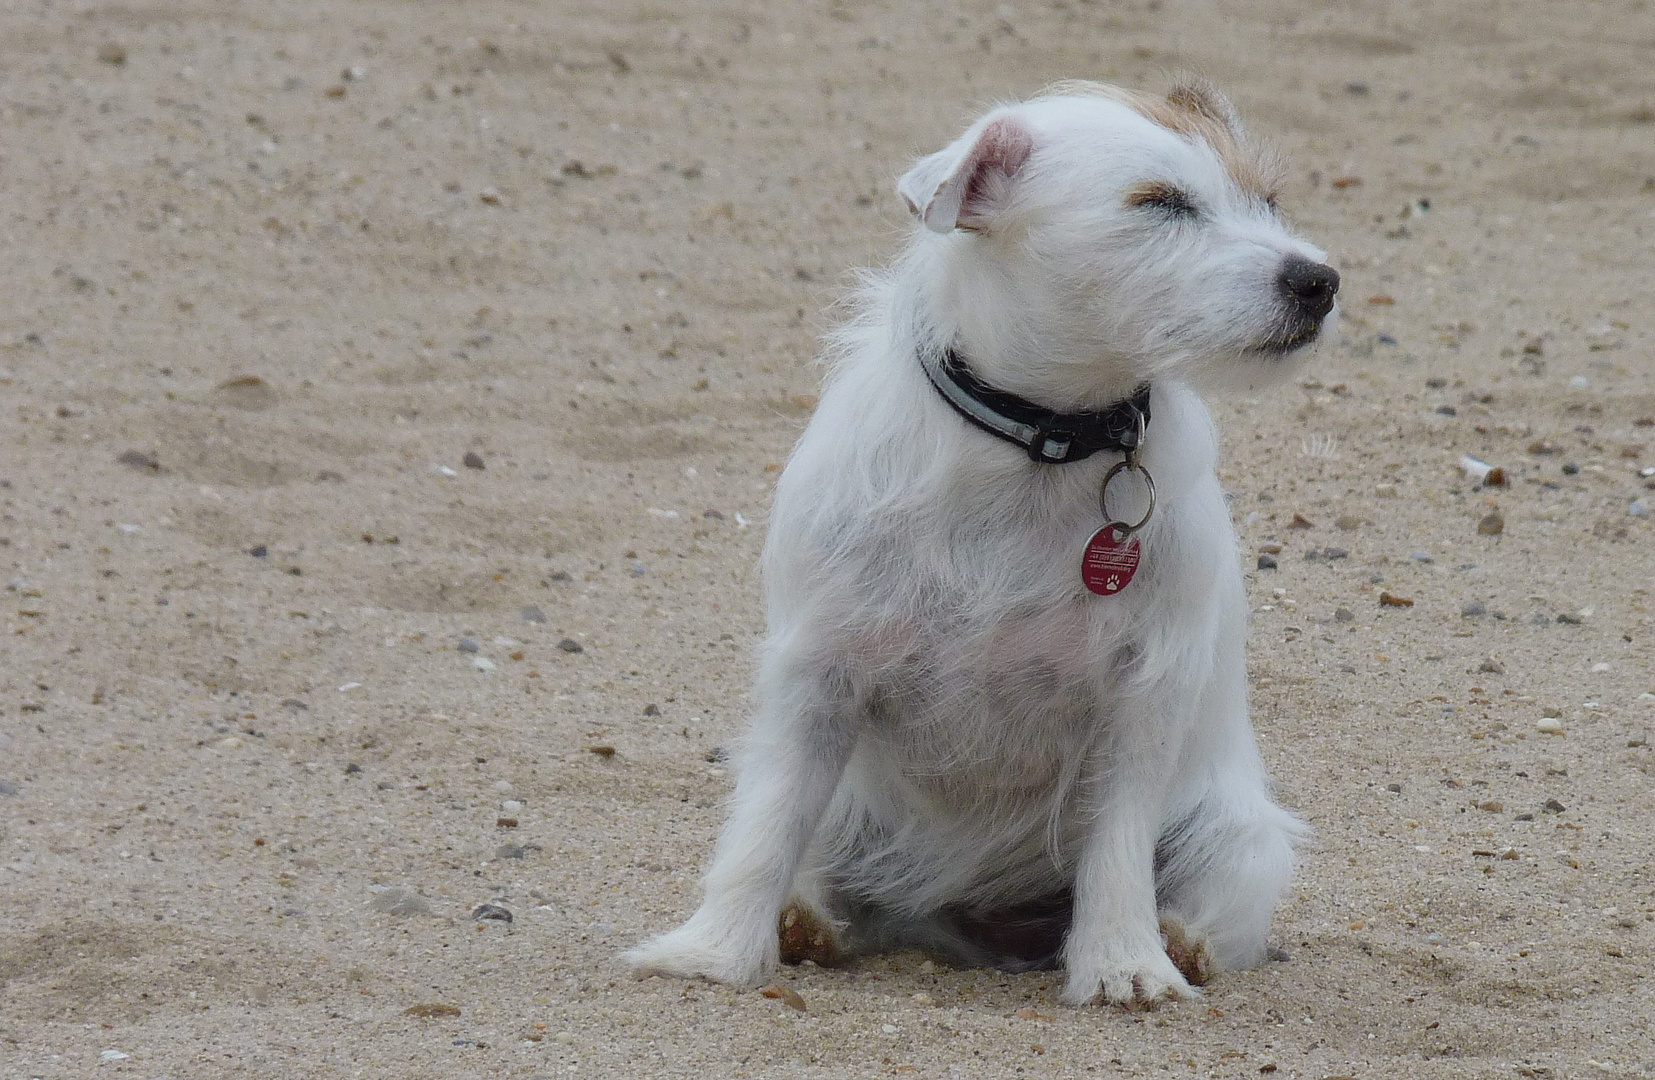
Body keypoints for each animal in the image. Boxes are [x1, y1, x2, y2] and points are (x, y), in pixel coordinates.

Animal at [625, 80, 1337, 1005]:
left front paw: (1123, 964)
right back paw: (804, 924)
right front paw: (713, 951)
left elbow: (1117, 846)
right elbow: (768, 821)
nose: (1318, 282)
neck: (1043, 439)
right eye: (1160, 204)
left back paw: (1178, 943)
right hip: (851, 814)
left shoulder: (1142, 698)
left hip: (1235, 838)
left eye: (1269, 201)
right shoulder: (817, 677)